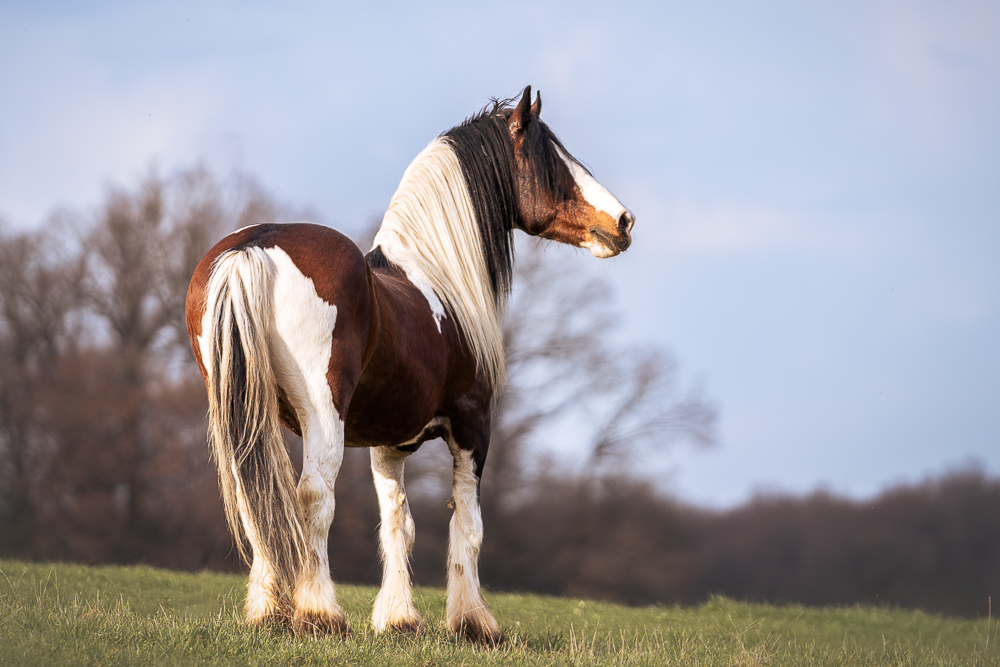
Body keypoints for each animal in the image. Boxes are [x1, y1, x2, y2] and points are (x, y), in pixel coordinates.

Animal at [184, 86, 634, 643]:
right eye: (552, 160)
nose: (623, 222)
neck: (433, 278)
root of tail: (252, 248)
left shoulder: (388, 445)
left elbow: (398, 522)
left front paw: (398, 617)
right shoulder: (472, 427)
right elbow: (467, 523)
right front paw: (473, 622)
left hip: (247, 413)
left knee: (257, 495)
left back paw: (268, 612)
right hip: (321, 417)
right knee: (313, 497)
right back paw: (320, 613)